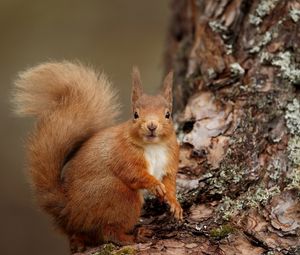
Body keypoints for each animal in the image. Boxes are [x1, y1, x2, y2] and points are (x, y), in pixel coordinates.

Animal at [12, 61, 183, 251]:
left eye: (168, 114)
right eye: (135, 114)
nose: (152, 126)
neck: (153, 146)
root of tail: (69, 213)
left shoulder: (170, 159)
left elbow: (169, 182)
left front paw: (174, 203)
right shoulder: (122, 155)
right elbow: (134, 174)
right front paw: (154, 185)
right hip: (118, 196)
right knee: (108, 232)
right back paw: (132, 236)